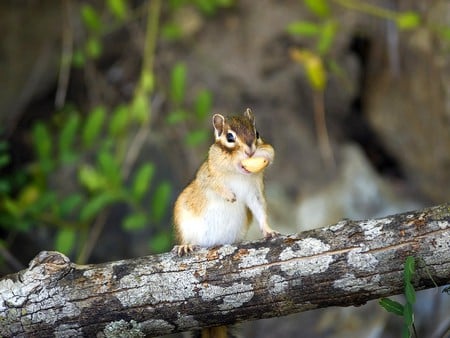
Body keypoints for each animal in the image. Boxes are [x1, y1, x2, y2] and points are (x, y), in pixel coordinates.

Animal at [172, 108, 278, 256]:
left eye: (257, 133)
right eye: (230, 137)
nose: (250, 151)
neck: (237, 174)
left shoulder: (254, 191)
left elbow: (259, 208)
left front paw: (269, 230)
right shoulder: (206, 176)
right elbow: (214, 186)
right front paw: (229, 196)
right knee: (187, 240)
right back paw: (185, 246)